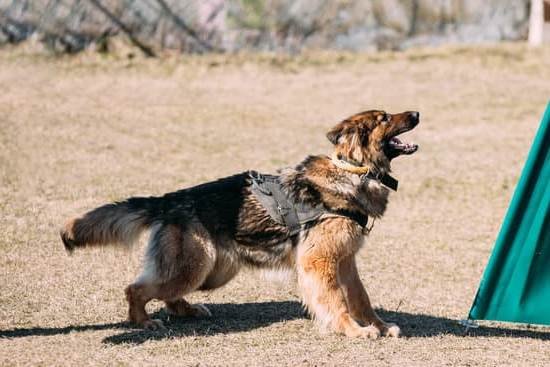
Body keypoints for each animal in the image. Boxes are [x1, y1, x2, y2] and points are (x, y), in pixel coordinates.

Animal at [60, 109, 420, 340]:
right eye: (384, 118)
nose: (416, 113)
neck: (352, 172)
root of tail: (169, 200)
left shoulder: (345, 261)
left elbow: (361, 298)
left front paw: (378, 326)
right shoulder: (319, 263)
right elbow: (337, 301)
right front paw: (353, 330)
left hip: (212, 271)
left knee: (168, 295)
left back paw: (186, 310)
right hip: (196, 266)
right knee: (136, 288)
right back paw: (143, 322)